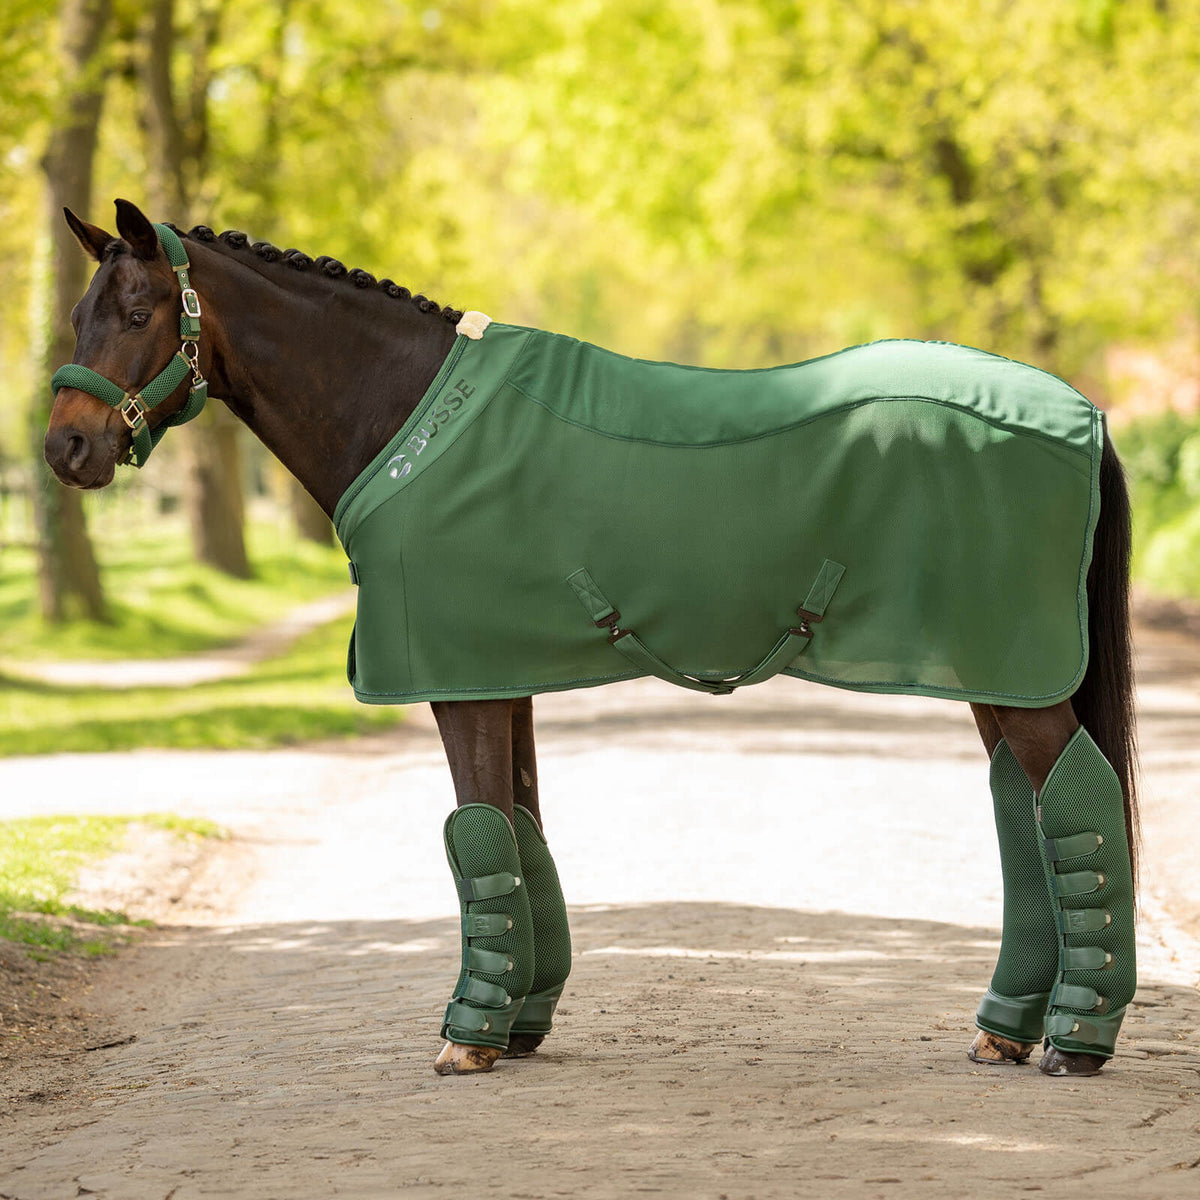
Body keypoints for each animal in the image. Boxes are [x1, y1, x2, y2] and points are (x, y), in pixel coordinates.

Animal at [44, 199, 1139, 1079]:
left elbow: (477, 833)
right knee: (1027, 811)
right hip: (994, 666)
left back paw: (1077, 1041)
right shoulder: (497, 669)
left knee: (1077, 800)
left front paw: (471, 1035)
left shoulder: (462, 680)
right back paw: (1005, 1029)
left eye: (139, 314)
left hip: (1017, 667)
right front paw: (522, 1020)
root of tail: (1079, 411)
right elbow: (519, 833)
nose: (65, 447)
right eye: (77, 316)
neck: (409, 419)